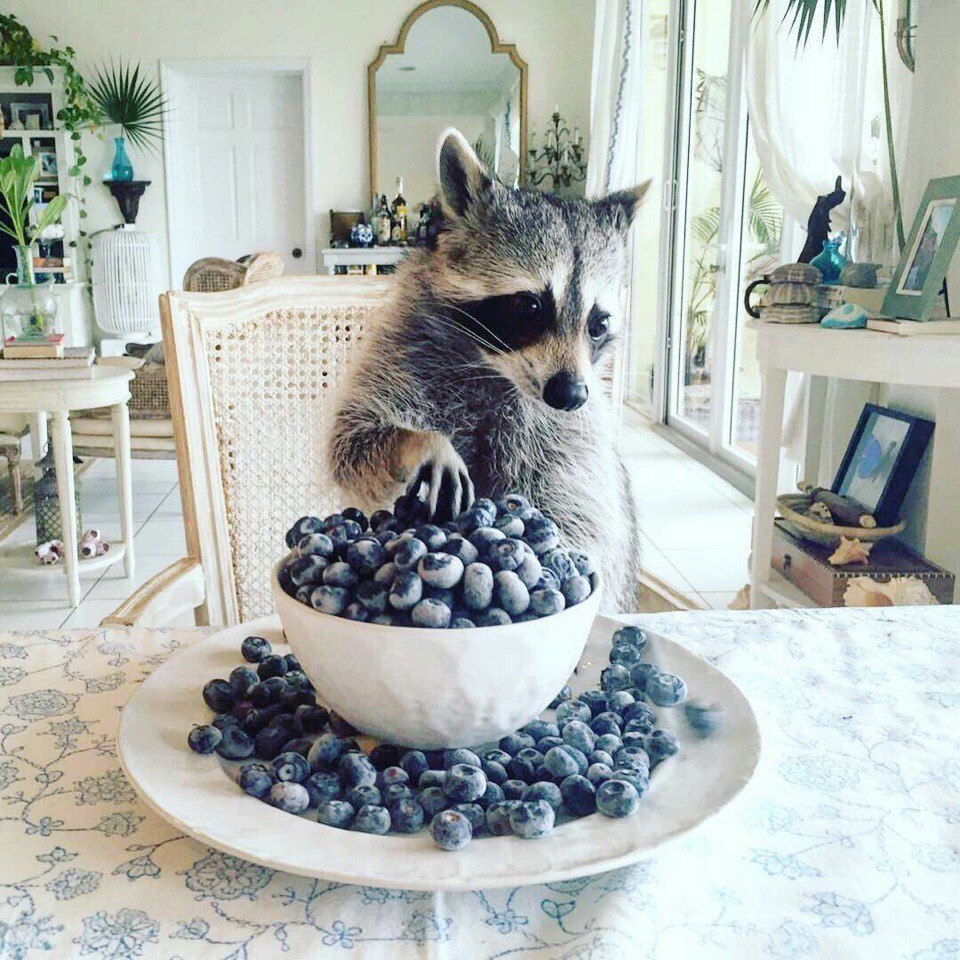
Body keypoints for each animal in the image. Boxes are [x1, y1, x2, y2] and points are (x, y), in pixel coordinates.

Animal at [328, 130, 649, 611]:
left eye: (599, 324)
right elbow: (352, 439)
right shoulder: (400, 353)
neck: (494, 370)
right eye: (530, 306)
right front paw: (420, 442)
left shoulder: (574, 436)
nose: (570, 394)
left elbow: (580, 516)